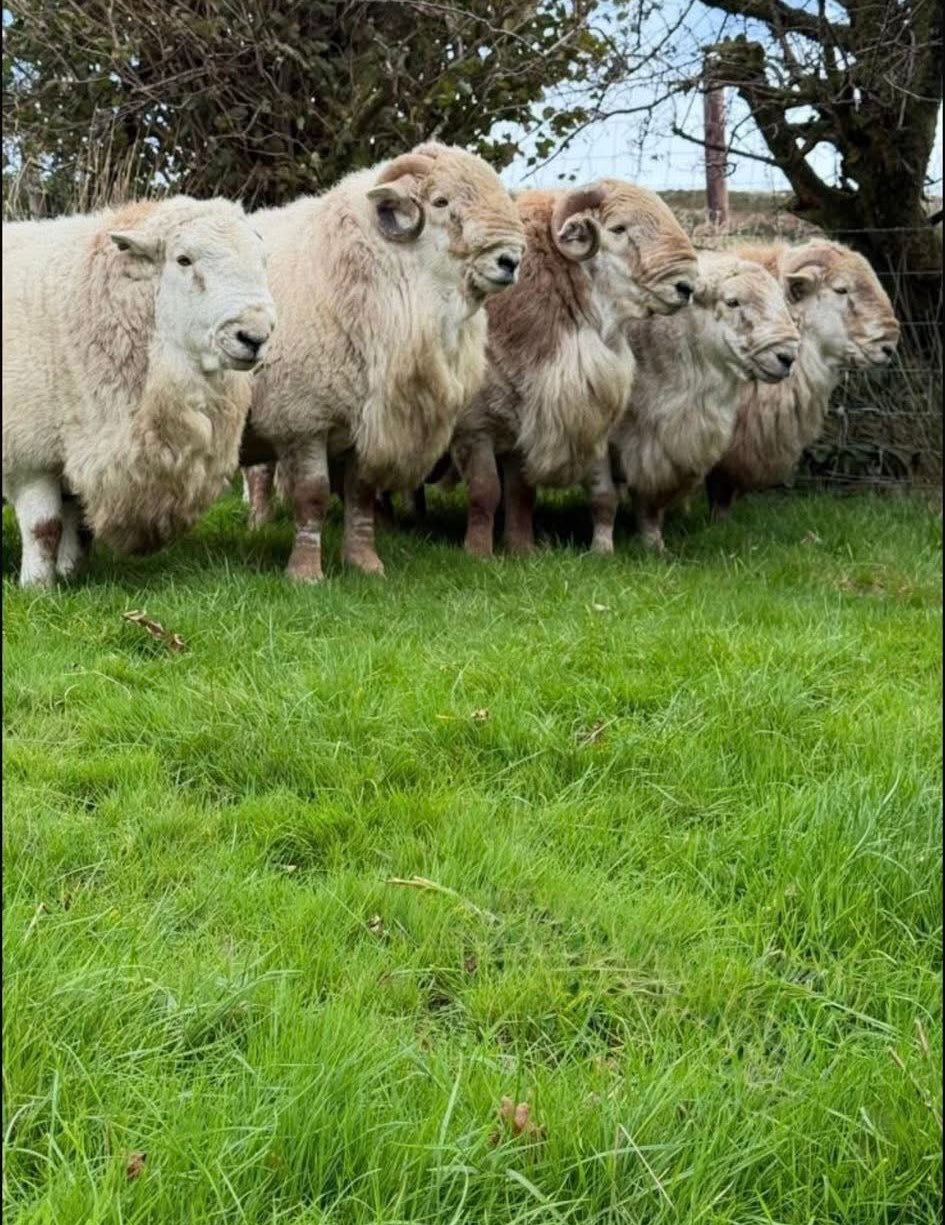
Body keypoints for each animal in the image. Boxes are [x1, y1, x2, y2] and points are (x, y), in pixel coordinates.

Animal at [2, 195, 275, 586]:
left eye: (262, 260)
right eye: (183, 259)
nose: (254, 337)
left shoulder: (81, 442)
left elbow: (77, 526)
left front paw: (70, 574)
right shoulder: (27, 453)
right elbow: (45, 528)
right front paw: (37, 587)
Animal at [241, 141, 526, 581]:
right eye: (441, 201)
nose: (510, 260)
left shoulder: (365, 420)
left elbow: (361, 494)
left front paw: (365, 564)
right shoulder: (305, 416)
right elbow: (312, 495)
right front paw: (305, 573)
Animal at [448, 180, 699, 556]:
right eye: (619, 229)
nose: (686, 287)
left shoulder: (524, 426)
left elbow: (521, 494)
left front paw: (521, 550)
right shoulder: (474, 427)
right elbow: (485, 492)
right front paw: (478, 555)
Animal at [588, 250, 801, 553]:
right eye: (732, 301)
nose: (787, 357)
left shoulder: (659, 445)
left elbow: (649, 502)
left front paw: (654, 545)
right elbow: (604, 498)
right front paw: (602, 550)